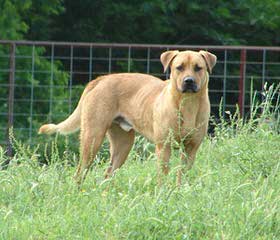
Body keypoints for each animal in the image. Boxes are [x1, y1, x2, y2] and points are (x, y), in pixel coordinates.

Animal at [38, 49, 217, 185]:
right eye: (179, 67)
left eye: (198, 68)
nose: (189, 81)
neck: (188, 104)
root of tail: (101, 79)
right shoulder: (163, 147)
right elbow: (163, 176)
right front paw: (163, 194)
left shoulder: (191, 149)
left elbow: (182, 175)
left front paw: (179, 192)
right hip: (92, 138)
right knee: (79, 173)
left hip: (122, 145)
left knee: (108, 174)